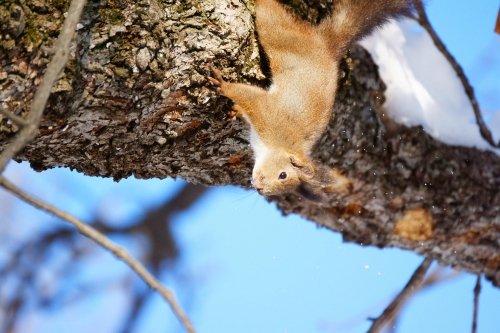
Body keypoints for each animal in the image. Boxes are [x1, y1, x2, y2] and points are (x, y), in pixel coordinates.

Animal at [209, 0, 412, 197]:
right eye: (283, 174)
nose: (260, 189)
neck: (279, 146)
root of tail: (327, 46)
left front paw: (236, 109)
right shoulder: (269, 117)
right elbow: (249, 97)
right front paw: (224, 86)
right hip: (282, 40)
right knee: (271, 16)